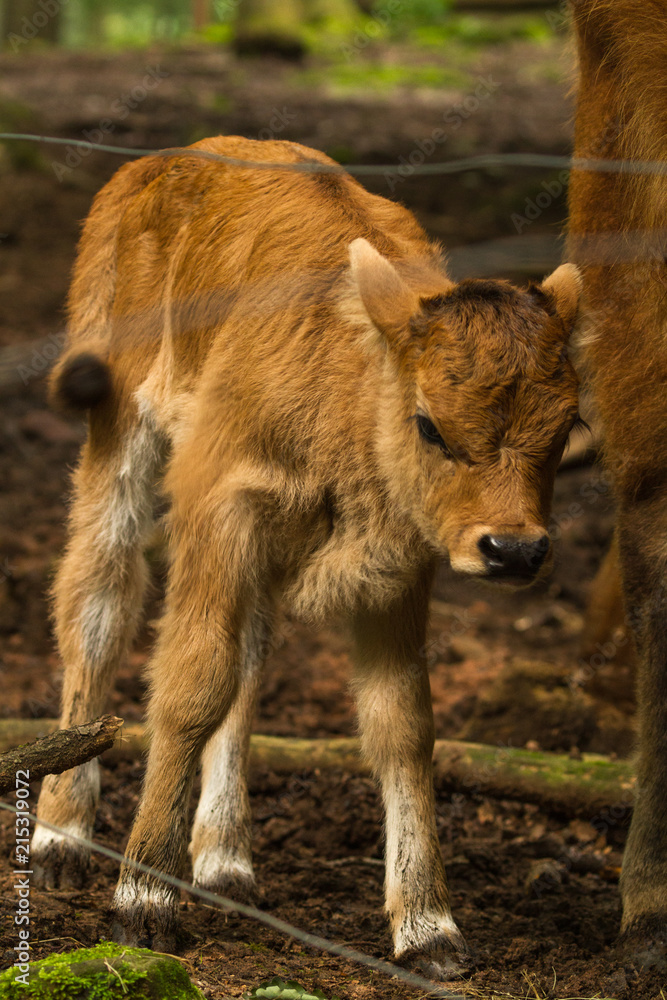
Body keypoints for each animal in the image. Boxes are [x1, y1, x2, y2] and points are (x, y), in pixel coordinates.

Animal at [31, 135, 581, 979]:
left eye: (567, 426)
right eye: (429, 424)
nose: (513, 549)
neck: (352, 385)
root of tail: (160, 163)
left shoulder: (396, 565)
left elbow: (400, 725)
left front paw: (429, 929)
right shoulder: (217, 508)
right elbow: (190, 685)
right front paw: (142, 901)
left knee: (250, 662)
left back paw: (224, 860)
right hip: (116, 440)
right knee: (99, 601)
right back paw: (60, 838)